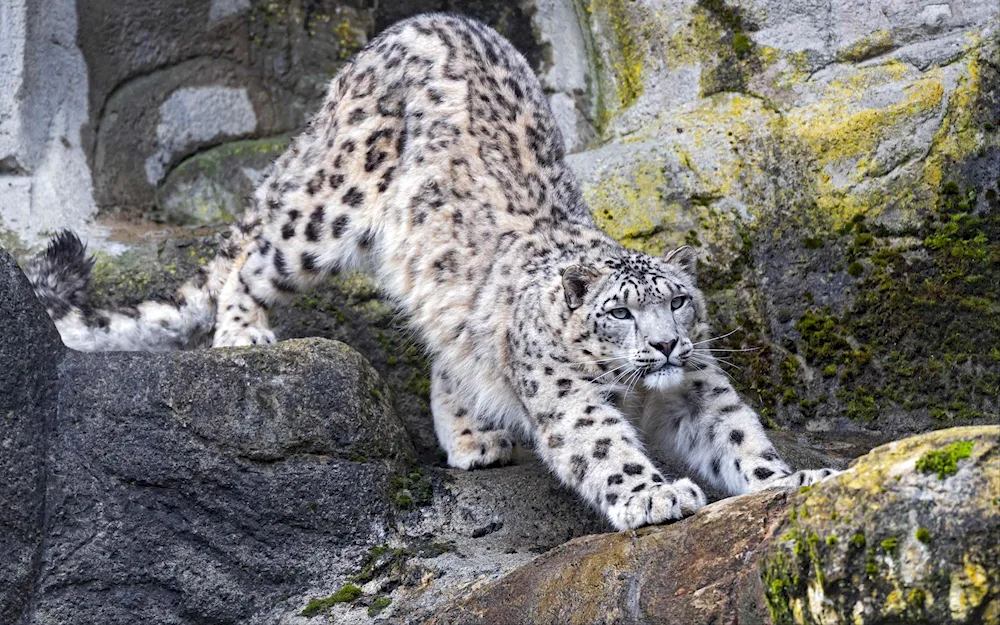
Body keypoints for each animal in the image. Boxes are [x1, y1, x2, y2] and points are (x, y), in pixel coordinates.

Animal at [27, 12, 836, 528]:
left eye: (679, 301)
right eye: (619, 311)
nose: (665, 345)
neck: (647, 391)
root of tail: (402, 28)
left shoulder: (700, 389)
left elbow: (740, 438)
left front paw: (797, 479)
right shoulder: (569, 396)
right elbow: (603, 444)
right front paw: (654, 496)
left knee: (449, 345)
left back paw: (473, 437)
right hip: (330, 204)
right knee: (256, 256)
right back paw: (242, 333)